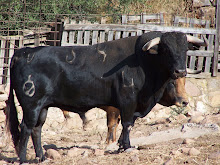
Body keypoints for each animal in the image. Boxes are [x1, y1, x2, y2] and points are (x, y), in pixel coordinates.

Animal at [5, 31, 205, 162]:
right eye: (166, 49)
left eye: (185, 49)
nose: (180, 71)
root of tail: (22, 52)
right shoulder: (127, 101)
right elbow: (127, 124)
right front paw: (126, 147)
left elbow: (124, 126)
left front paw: (121, 145)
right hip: (31, 104)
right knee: (26, 128)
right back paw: (23, 158)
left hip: (43, 106)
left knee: (37, 129)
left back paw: (41, 157)